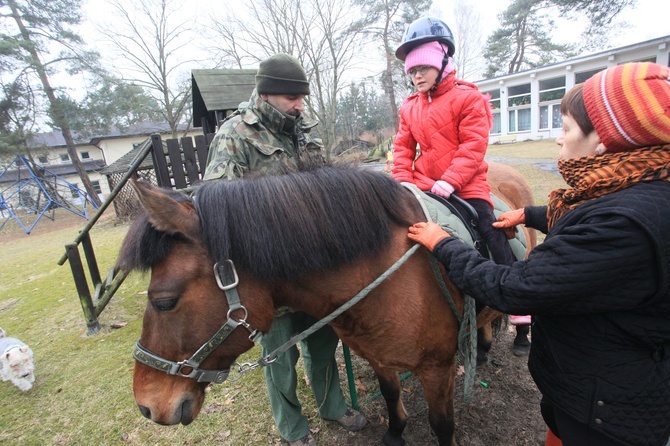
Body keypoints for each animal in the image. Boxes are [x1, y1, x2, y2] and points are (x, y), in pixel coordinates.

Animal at [118, 162, 540, 446]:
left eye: (164, 302)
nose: (146, 405)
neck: (389, 274)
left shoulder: (436, 368)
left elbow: (442, 424)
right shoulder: (378, 354)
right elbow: (391, 396)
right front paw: (394, 434)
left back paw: (520, 341)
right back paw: (481, 351)